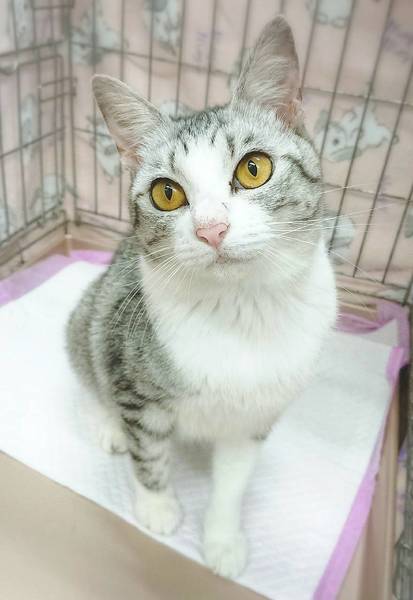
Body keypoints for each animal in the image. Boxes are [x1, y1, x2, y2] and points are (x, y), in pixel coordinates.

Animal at [66, 17, 337, 579]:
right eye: (166, 193)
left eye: (254, 169)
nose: (212, 228)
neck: (240, 311)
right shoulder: (133, 377)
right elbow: (149, 452)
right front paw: (157, 506)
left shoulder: (254, 417)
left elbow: (233, 481)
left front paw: (223, 539)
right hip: (94, 314)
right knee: (92, 366)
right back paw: (108, 425)